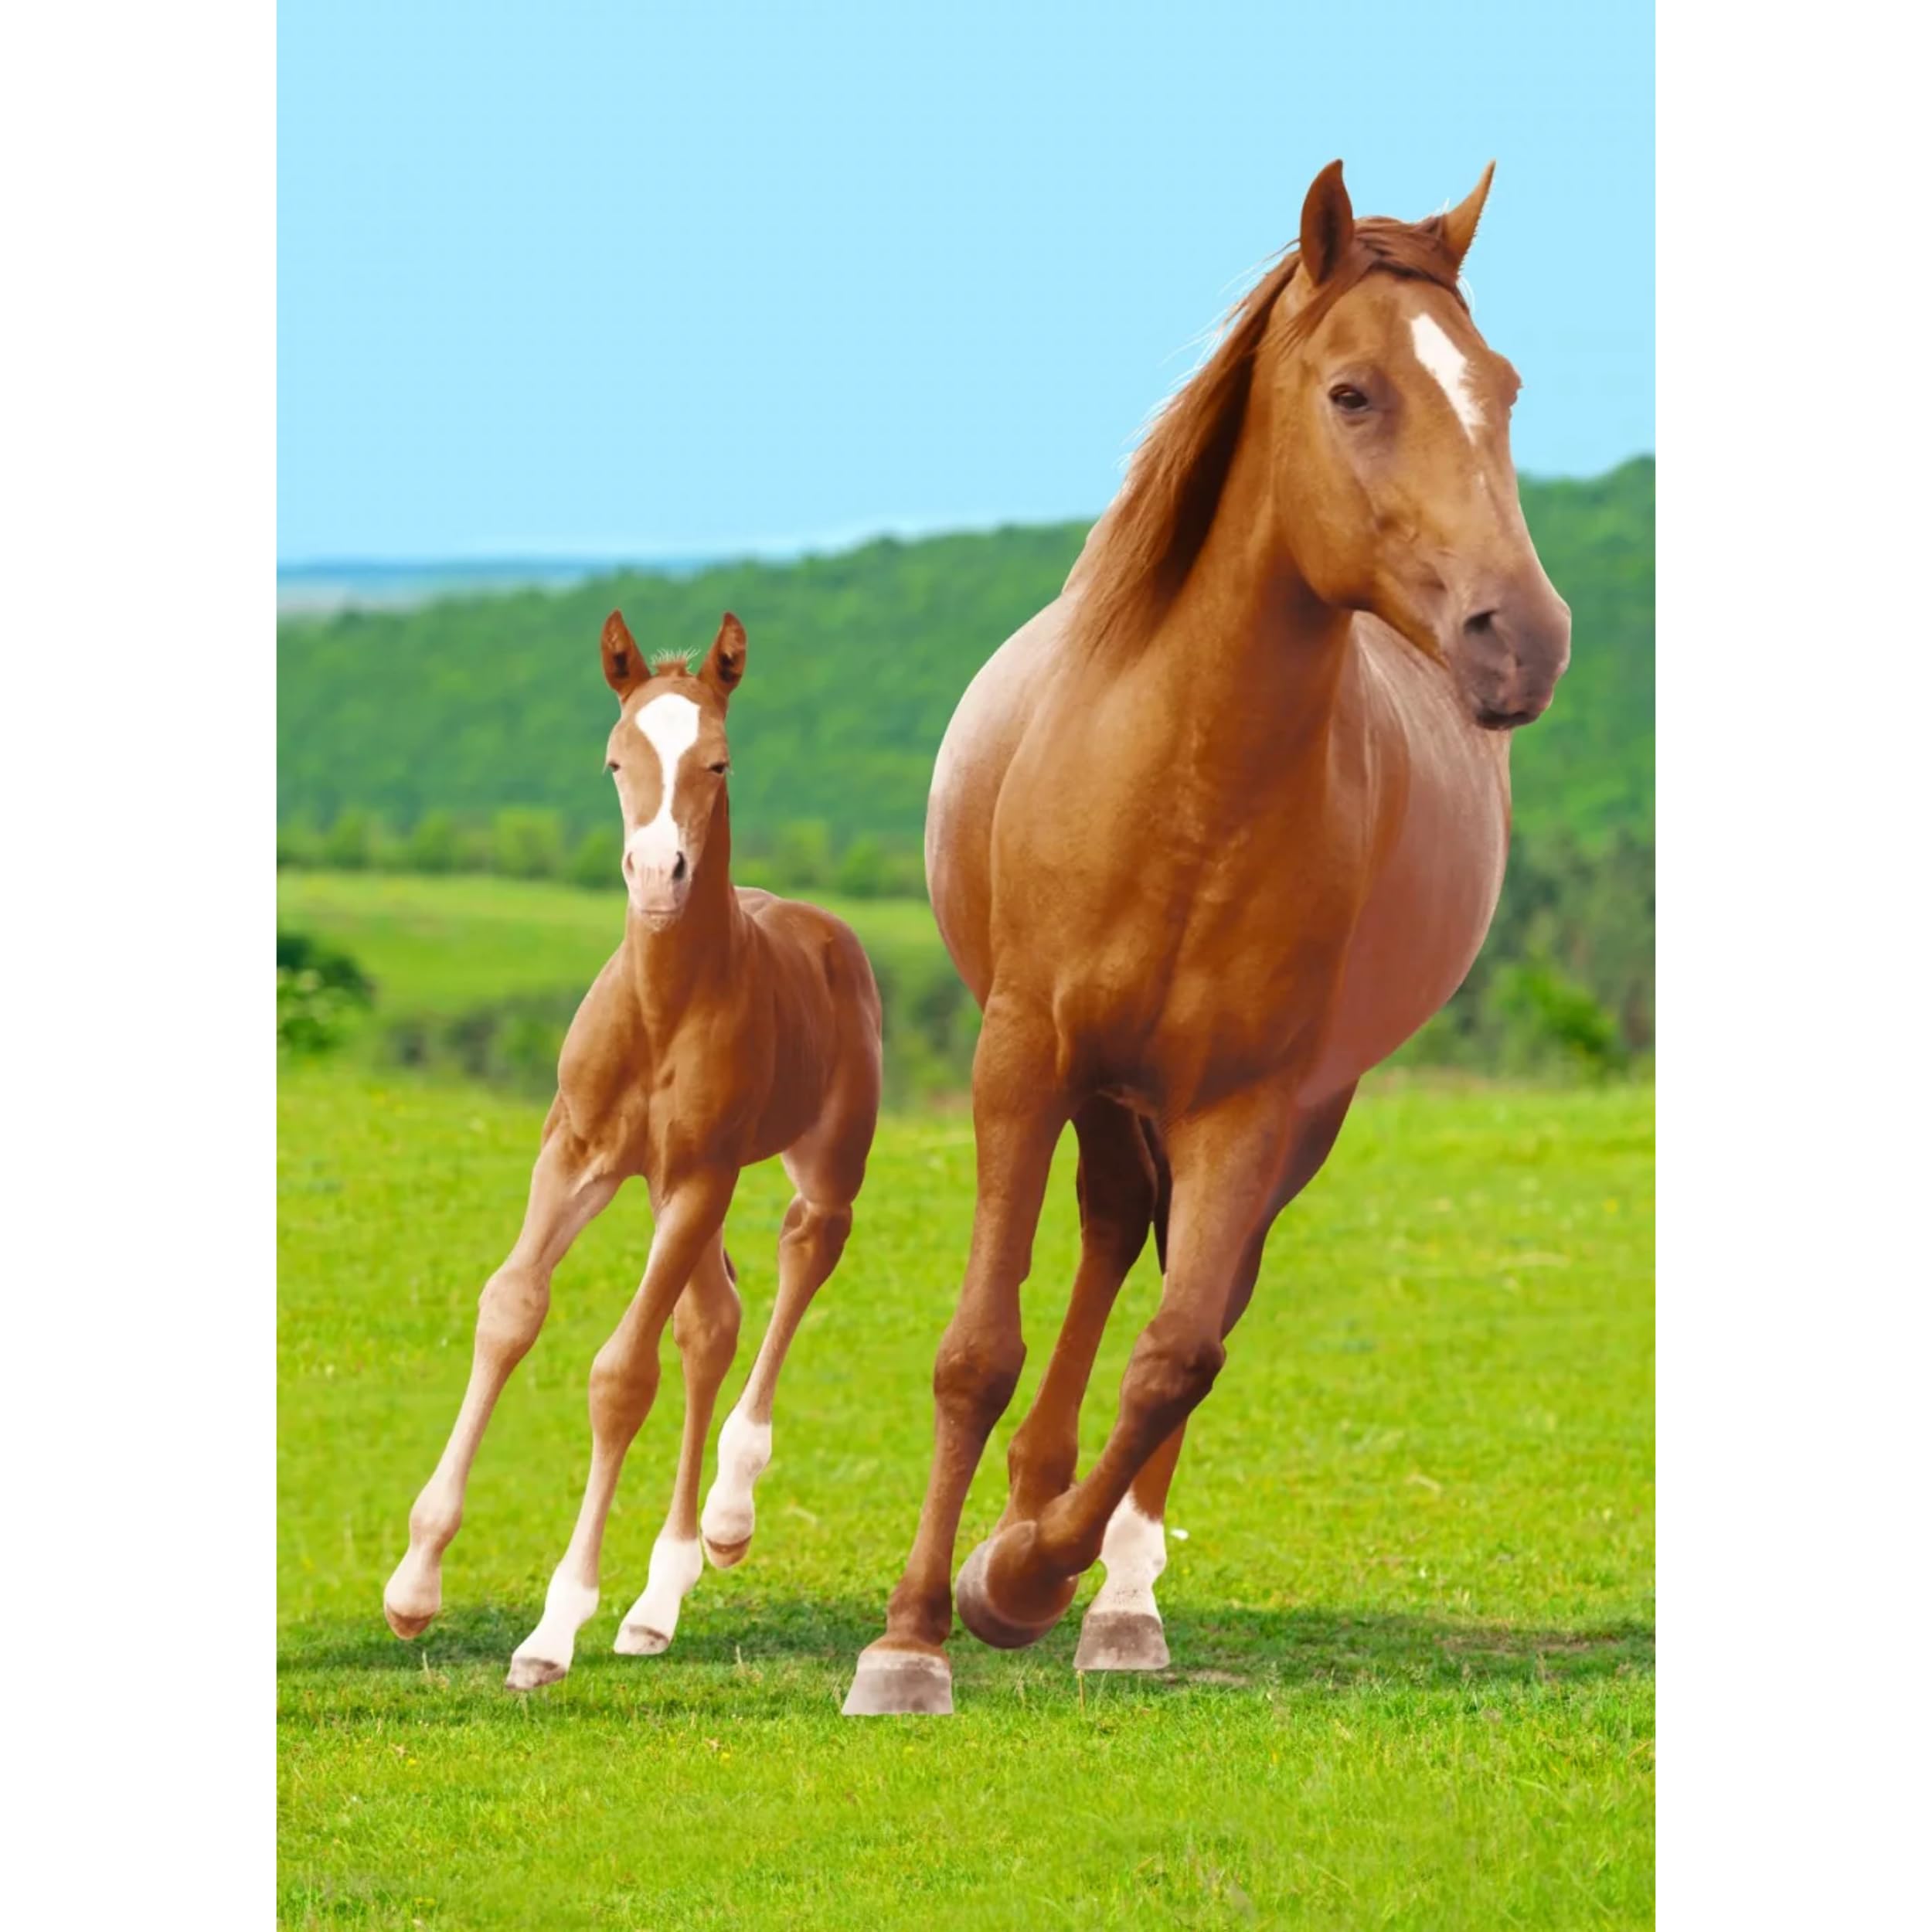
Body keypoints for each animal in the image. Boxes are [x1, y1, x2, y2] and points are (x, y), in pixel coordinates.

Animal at [383, 611, 883, 1688]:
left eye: (718, 760)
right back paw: (659, 1600)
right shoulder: (576, 1154)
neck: (663, 1009)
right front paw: (414, 1584)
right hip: (658, 1189)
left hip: (808, 1163)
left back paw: (727, 1517)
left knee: (800, 1254)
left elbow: (620, 1377)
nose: (658, 877)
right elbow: (509, 1309)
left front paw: (553, 1626)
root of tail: (824, 929)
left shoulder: (699, 1173)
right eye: (616, 759)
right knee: (712, 1323)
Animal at [844, 160, 1571, 1716]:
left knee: (1188, 1289)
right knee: (1114, 1231)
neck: (1184, 780)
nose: (1519, 639)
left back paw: (1105, 1593)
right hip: (1102, 1091)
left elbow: (1179, 1354)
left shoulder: (1248, 1102)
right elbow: (977, 1349)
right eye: (1354, 393)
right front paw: (913, 1634)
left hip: (1281, 1115)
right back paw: (1021, 1514)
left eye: (1502, 387)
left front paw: (1026, 1581)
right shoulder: (1022, 1060)